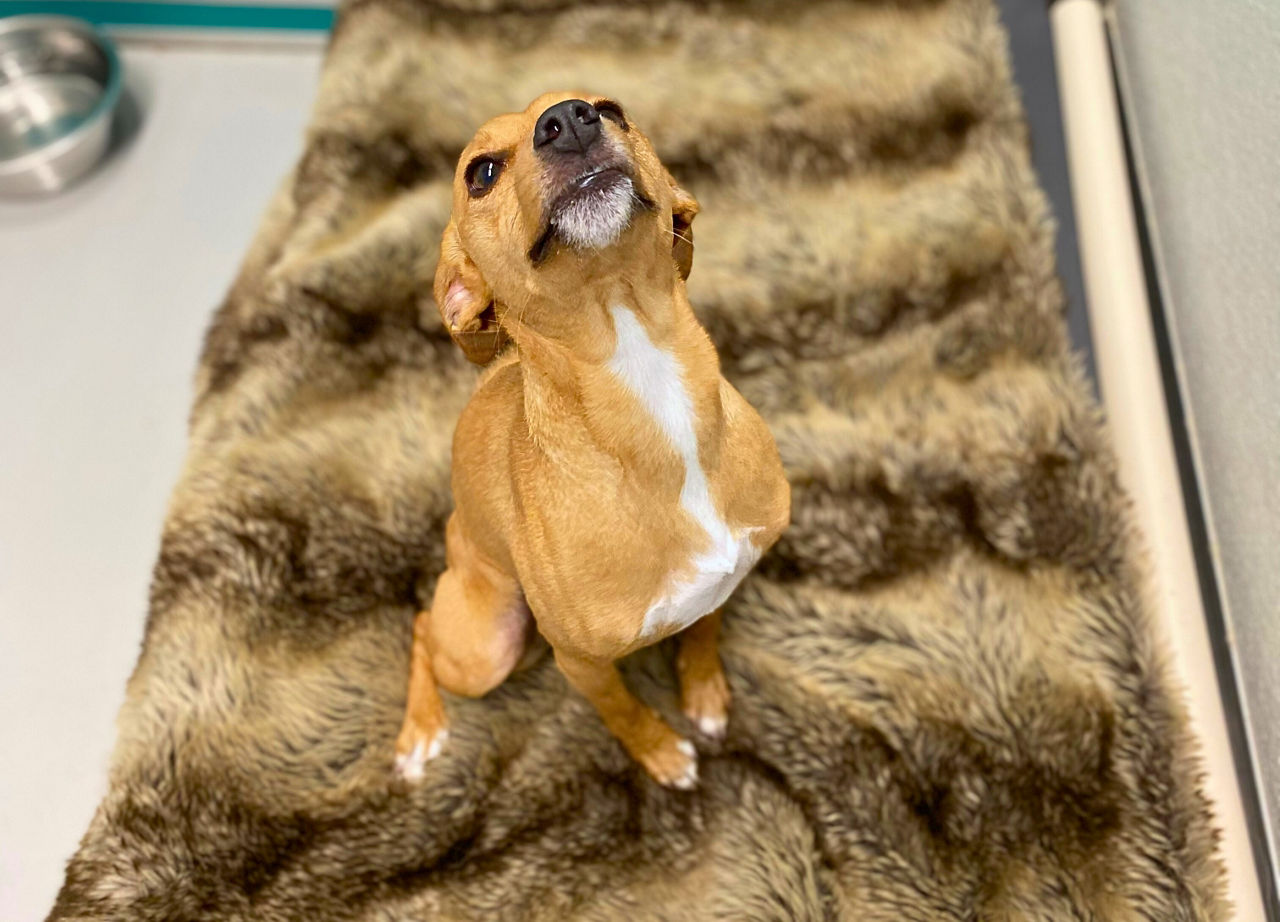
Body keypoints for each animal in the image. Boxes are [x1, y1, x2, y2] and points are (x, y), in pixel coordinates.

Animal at [394, 91, 783, 783]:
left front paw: (704, 692)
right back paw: (420, 733)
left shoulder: (725, 581)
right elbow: (622, 711)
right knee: (419, 629)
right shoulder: (580, 664)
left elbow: (704, 632)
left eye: (613, 109)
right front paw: (660, 753)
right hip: (487, 646)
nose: (570, 120)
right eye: (480, 173)